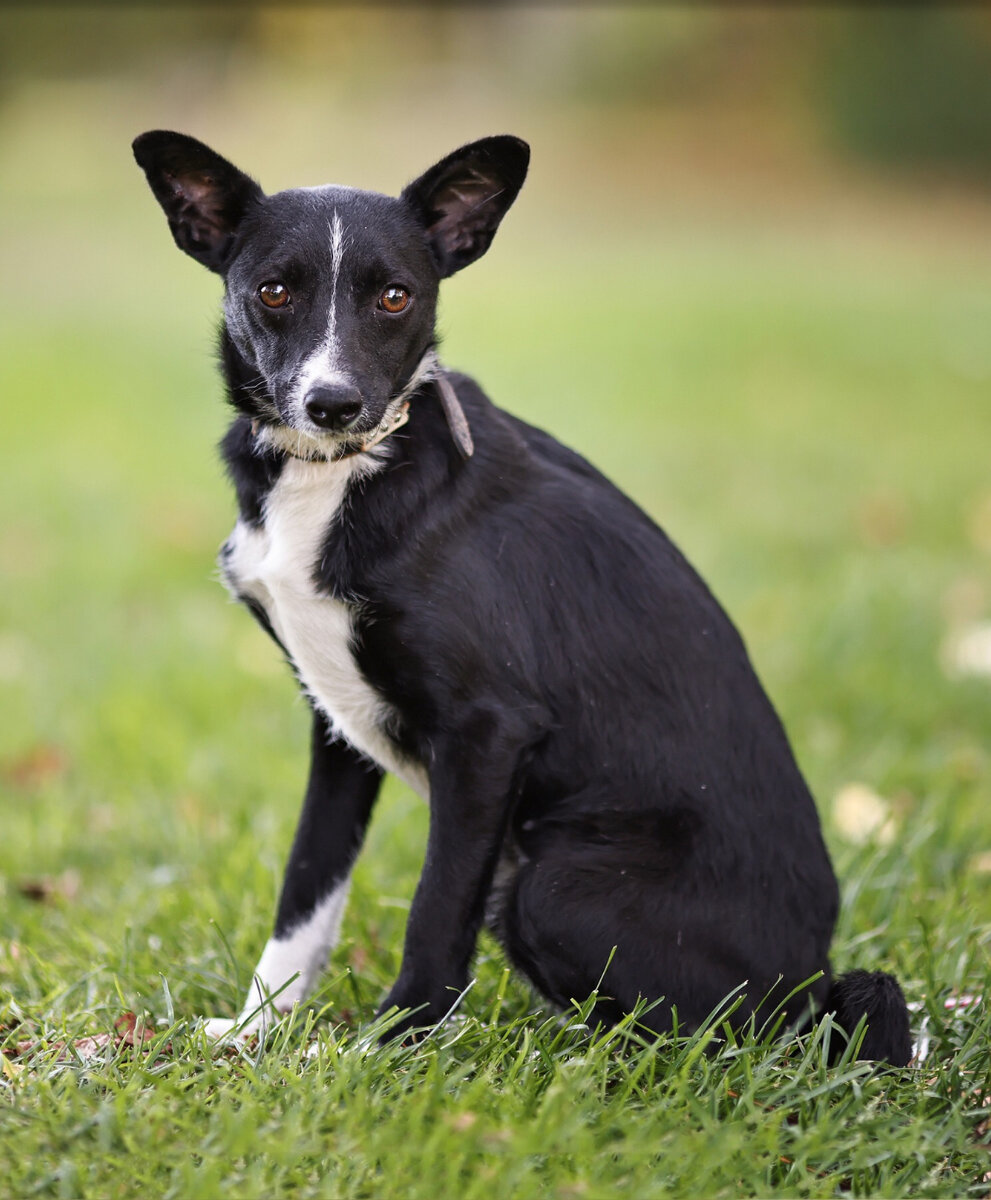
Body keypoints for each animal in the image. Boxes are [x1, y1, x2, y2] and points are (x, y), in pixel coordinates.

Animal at [133, 131, 911, 1065]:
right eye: (273, 291)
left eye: (395, 296)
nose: (333, 405)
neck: (344, 475)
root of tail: (813, 983)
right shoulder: (335, 728)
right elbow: (305, 891)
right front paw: (259, 1029)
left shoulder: (486, 733)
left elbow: (435, 914)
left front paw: (385, 1051)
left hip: (553, 886)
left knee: (707, 1038)